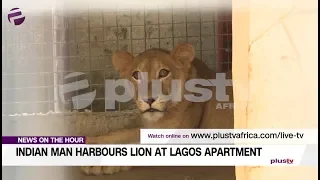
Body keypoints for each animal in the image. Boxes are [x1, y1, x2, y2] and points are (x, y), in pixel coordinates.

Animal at [81, 43, 234, 174]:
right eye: (136, 75)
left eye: (163, 73)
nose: (149, 100)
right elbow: (122, 133)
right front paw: (89, 140)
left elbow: (137, 146)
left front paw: (99, 163)